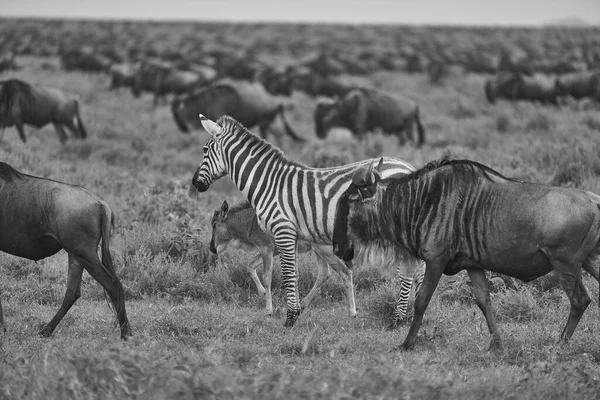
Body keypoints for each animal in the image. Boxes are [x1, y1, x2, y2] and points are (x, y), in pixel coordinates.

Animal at [192, 114, 422, 326]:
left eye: (204, 150)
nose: (195, 183)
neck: (268, 183)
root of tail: (409, 167)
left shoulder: (282, 232)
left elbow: (285, 275)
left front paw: (289, 317)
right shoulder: (288, 238)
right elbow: (292, 275)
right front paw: (294, 311)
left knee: (407, 271)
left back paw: (398, 318)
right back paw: (415, 312)